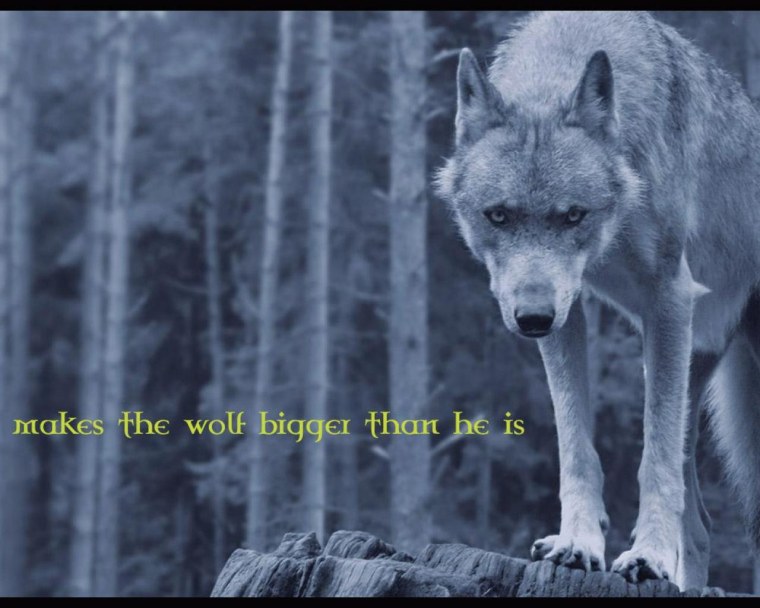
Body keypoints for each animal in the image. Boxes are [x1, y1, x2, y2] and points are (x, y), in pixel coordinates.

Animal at [435, 11, 760, 590]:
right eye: (498, 215)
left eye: (573, 215)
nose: (531, 319)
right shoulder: (566, 314)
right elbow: (575, 448)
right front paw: (578, 542)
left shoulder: (668, 298)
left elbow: (652, 458)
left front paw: (648, 556)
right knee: (700, 527)